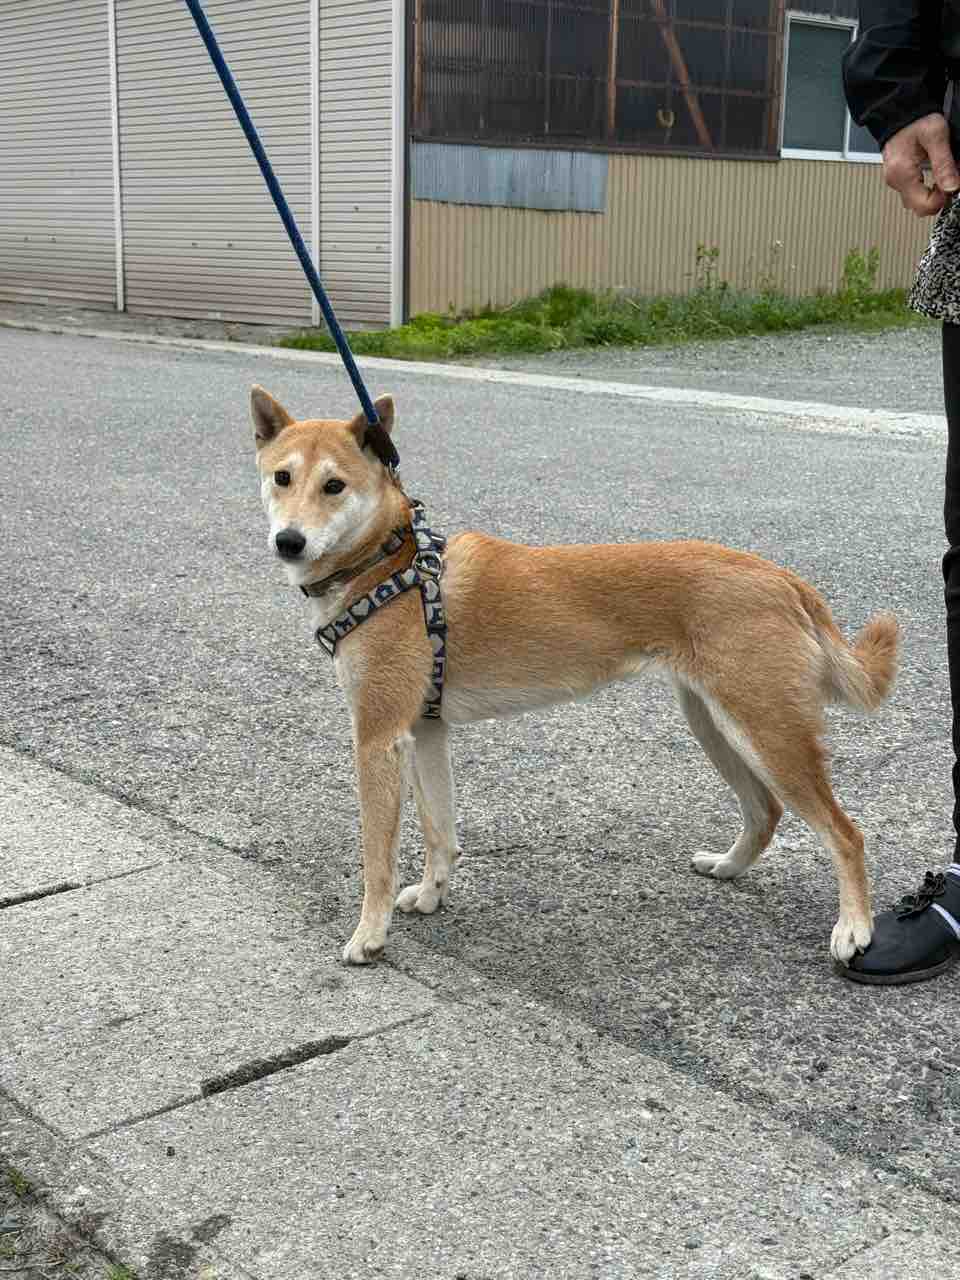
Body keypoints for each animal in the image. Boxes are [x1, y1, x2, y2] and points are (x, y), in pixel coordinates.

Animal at [252, 385, 899, 969]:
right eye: (282, 477)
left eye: (334, 486)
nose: (289, 541)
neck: (386, 565)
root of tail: (782, 578)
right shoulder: (426, 732)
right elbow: (440, 834)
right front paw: (433, 897)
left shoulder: (378, 740)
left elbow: (376, 859)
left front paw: (369, 936)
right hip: (716, 724)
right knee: (765, 812)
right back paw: (729, 867)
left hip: (766, 732)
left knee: (846, 834)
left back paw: (855, 929)